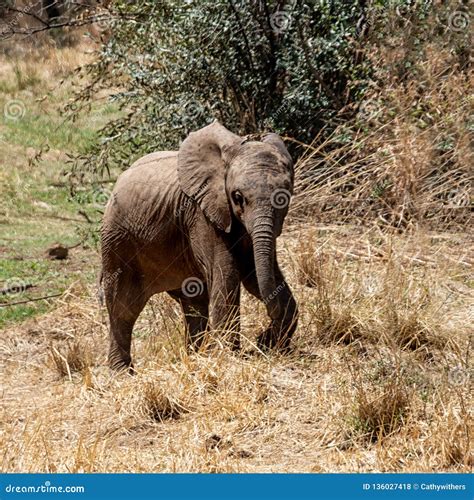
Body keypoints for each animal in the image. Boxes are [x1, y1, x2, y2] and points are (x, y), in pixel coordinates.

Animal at [102, 121, 298, 372]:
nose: (262, 336)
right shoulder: (201, 214)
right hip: (117, 239)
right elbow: (228, 274)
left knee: (194, 301)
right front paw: (230, 357)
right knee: (123, 306)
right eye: (237, 197)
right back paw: (122, 373)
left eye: (285, 196)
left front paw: (268, 343)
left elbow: (257, 275)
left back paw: (195, 357)